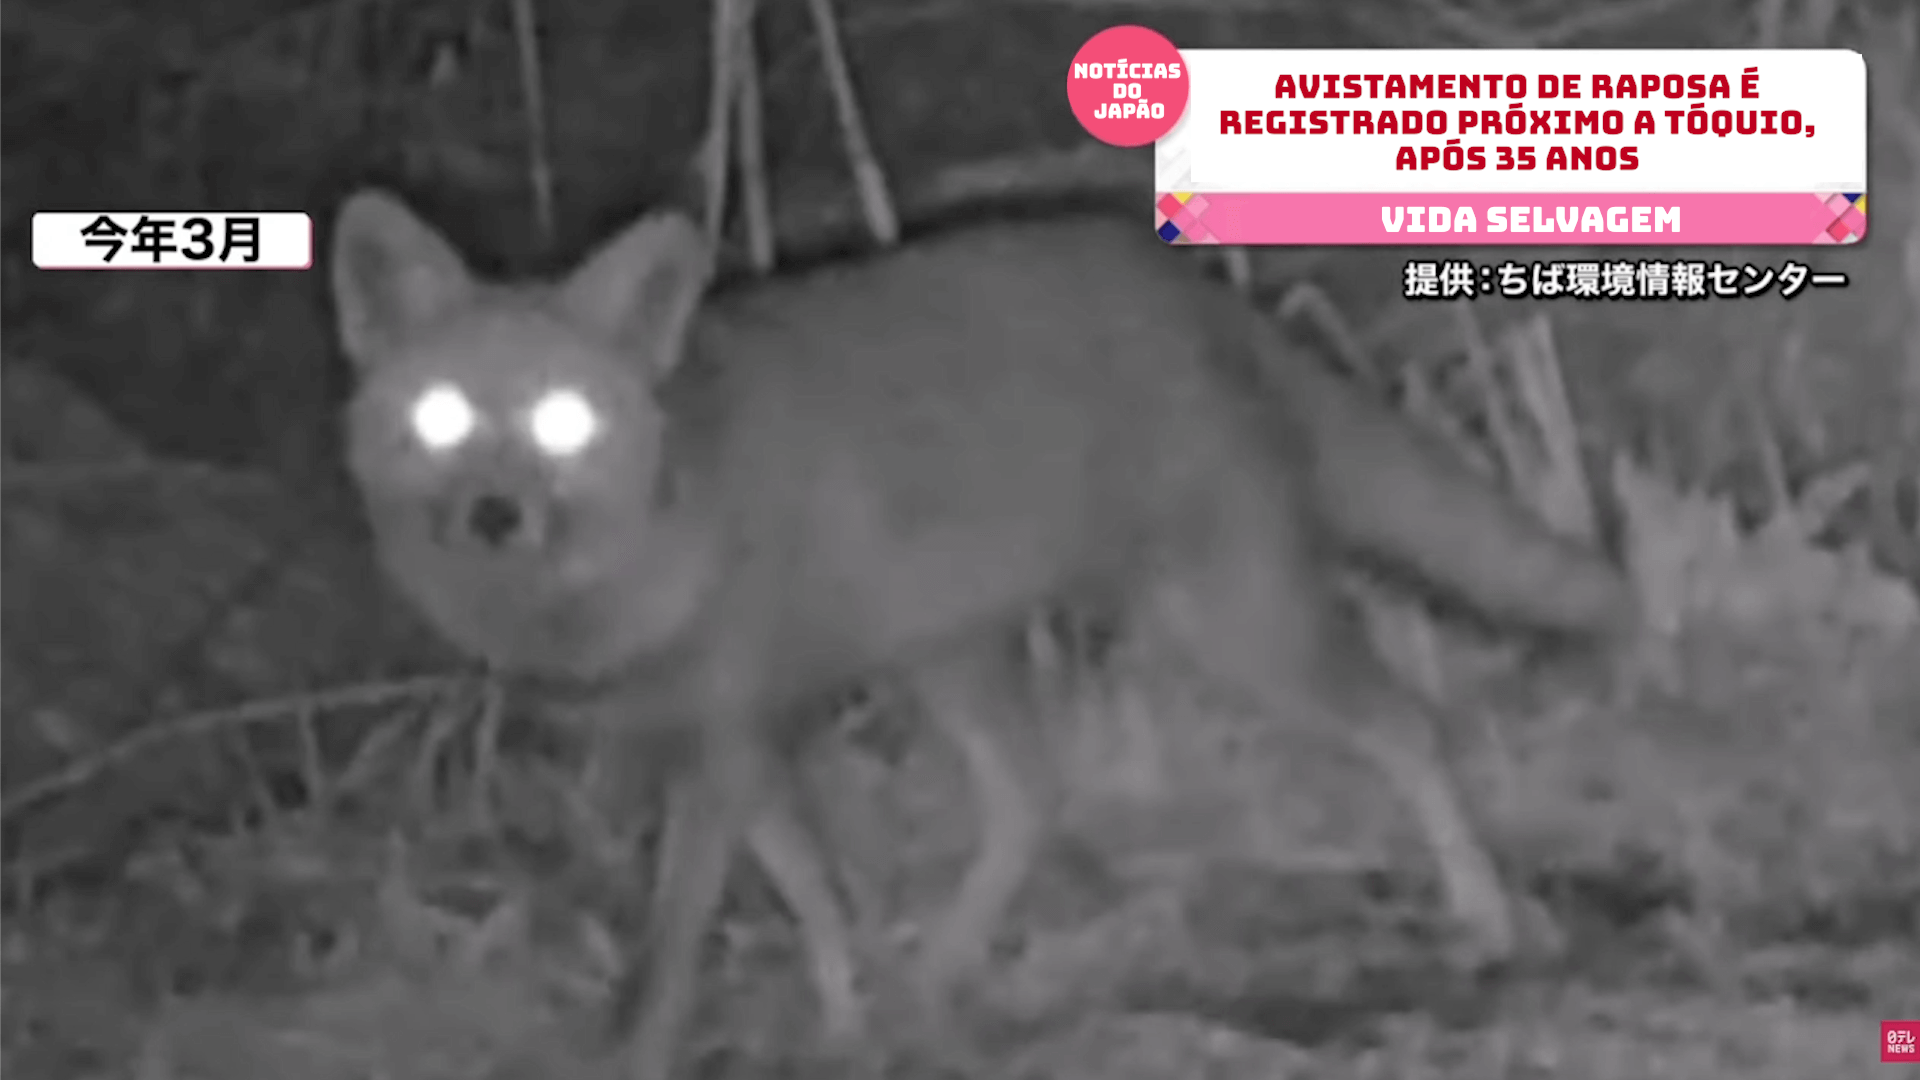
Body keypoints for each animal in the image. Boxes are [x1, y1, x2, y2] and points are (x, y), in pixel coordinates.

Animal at [328, 191, 1641, 1080]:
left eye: (562, 419)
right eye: (440, 418)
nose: (493, 515)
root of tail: (1189, 287)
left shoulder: (727, 745)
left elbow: (675, 953)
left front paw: (674, 1045)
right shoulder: (727, 743)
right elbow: (810, 901)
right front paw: (847, 1017)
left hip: (1228, 625)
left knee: (1408, 726)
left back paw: (1485, 920)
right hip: (954, 656)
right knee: (1030, 799)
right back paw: (940, 979)